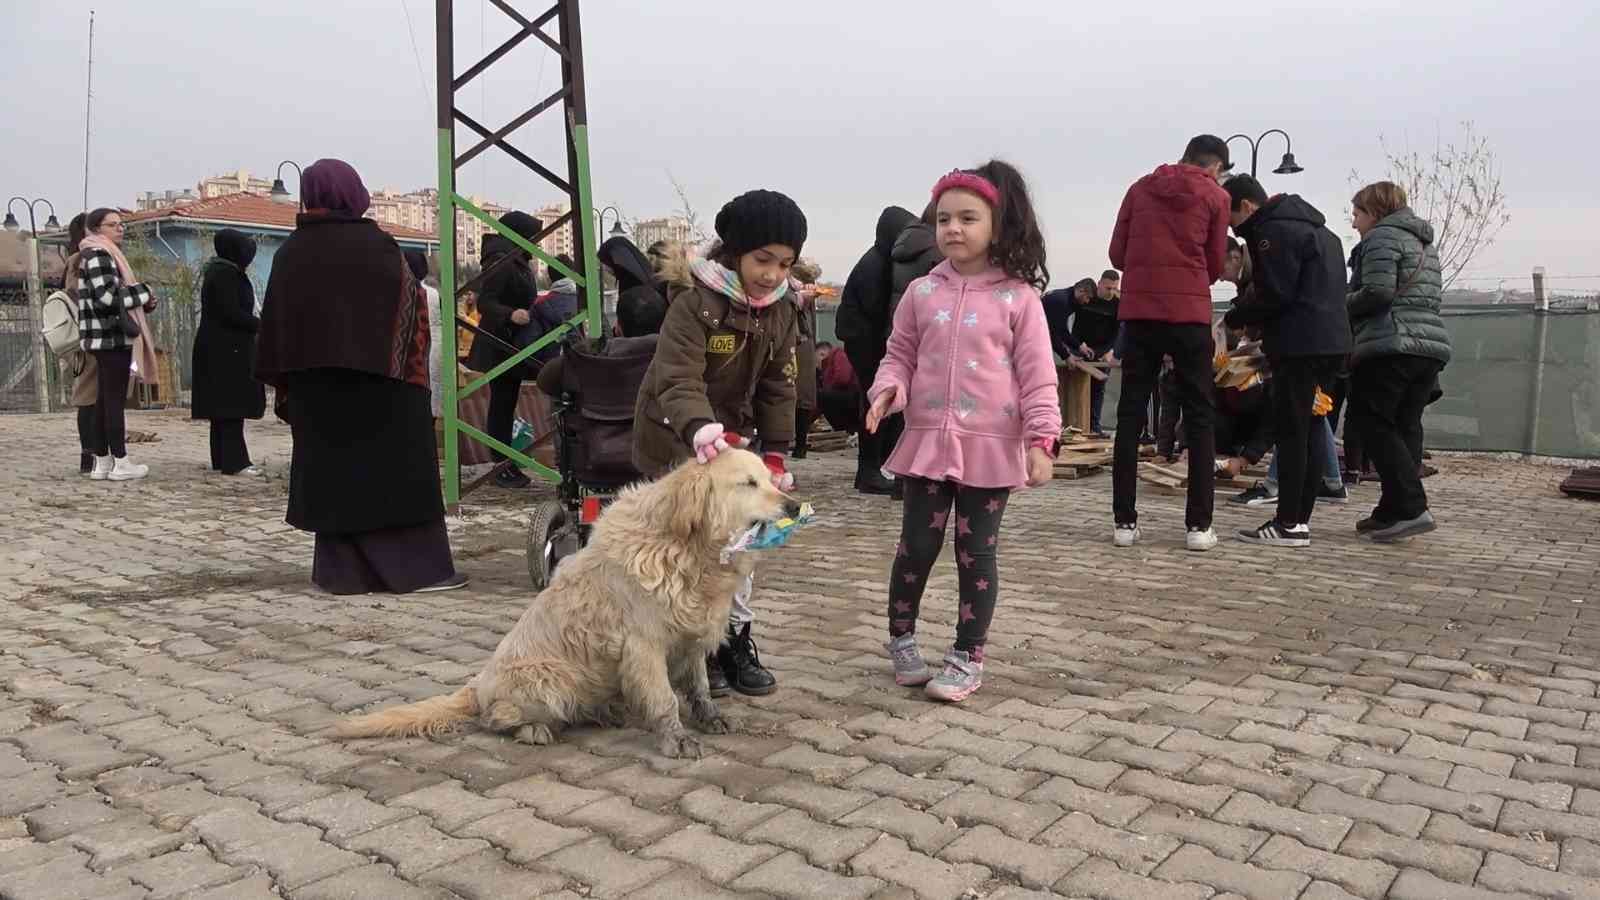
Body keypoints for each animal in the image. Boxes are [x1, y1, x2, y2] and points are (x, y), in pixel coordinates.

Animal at [332, 448, 800, 755]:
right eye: (748, 483)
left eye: (768, 477)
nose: (794, 504)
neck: (686, 548)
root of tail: (478, 686)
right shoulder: (645, 645)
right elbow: (664, 699)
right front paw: (677, 738)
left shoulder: (689, 640)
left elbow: (700, 686)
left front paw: (709, 718)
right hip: (548, 680)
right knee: (495, 718)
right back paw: (534, 729)